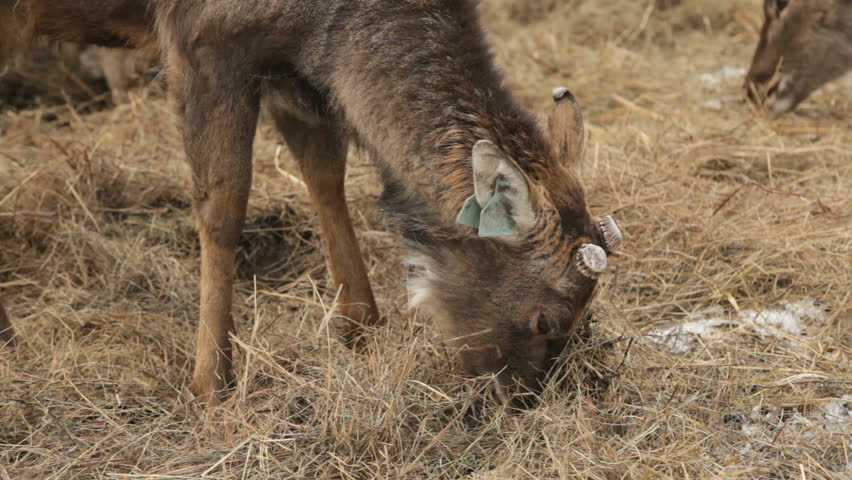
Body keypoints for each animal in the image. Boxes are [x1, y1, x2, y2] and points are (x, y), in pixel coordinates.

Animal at [0, 0, 623, 408]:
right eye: (546, 319)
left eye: (586, 312)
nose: (518, 403)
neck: (329, 22)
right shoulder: (203, 39)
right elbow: (223, 205)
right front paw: (211, 382)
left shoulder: (294, 66)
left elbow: (325, 173)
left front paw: (359, 326)